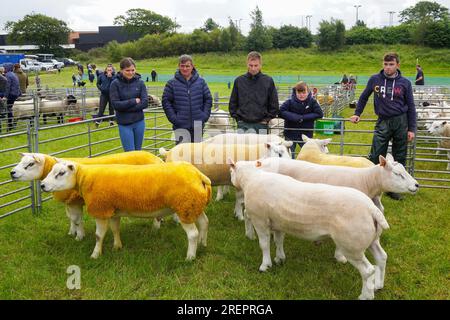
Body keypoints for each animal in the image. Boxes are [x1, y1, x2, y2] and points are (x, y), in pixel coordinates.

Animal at [11, 152, 163, 240]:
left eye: (30, 164)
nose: (12, 173)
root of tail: (157, 159)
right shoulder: (70, 202)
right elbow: (71, 218)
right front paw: (72, 232)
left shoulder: (75, 201)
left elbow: (77, 219)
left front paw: (79, 236)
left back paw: (155, 228)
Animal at [41, 161, 212, 262]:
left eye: (61, 173)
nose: (42, 185)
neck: (85, 178)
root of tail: (199, 175)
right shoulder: (113, 211)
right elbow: (115, 229)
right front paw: (117, 247)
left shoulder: (100, 209)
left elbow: (98, 236)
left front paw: (95, 254)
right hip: (194, 206)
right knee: (204, 223)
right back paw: (203, 244)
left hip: (185, 207)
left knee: (192, 234)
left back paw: (190, 256)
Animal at [230, 160, 388, 300]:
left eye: (231, 170)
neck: (251, 178)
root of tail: (372, 209)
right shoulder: (279, 223)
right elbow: (279, 241)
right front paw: (280, 259)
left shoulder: (260, 221)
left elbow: (264, 245)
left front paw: (265, 266)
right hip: (371, 239)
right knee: (381, 257)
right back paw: (378, 286)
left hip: (351, 245)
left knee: (368, 270)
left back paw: (365, 296)